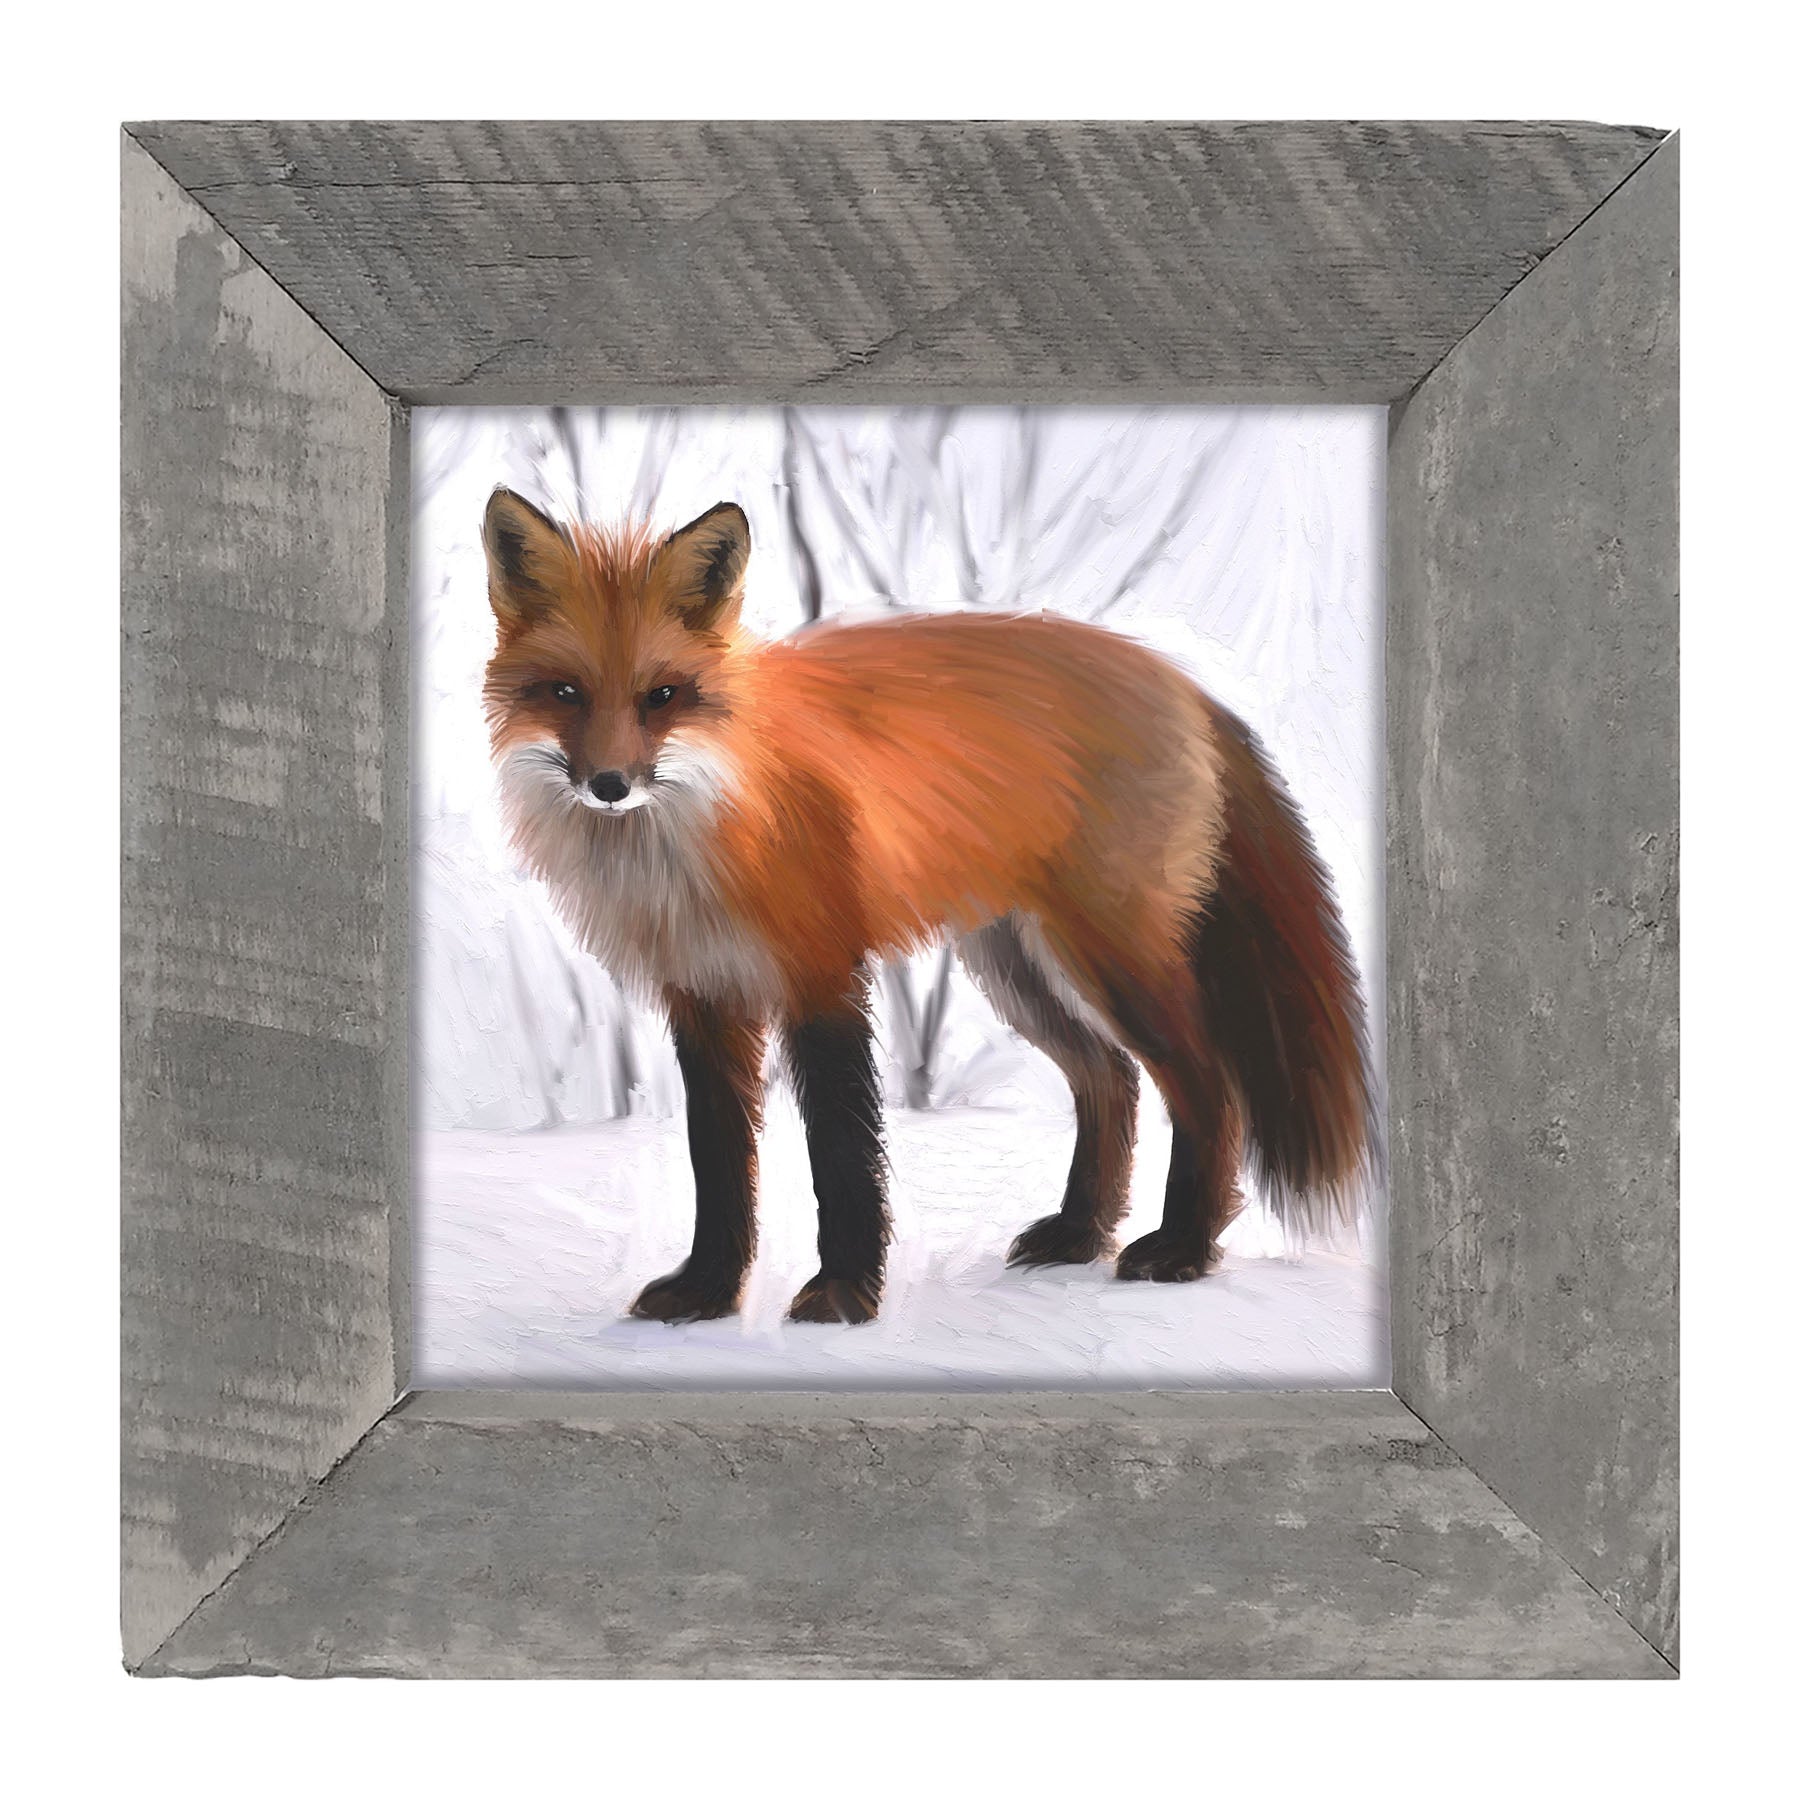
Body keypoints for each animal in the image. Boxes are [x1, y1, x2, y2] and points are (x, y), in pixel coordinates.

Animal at [481, 488, 1376, 1324]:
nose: (609, 785)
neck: (701, 835)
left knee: (1206, 1087)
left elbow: (841, 1152)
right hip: (1016, 969)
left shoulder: (822, 976)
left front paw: (843, 1295)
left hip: (1114, 960)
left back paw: (1183, 1249)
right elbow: (720, 1162)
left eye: (663, 695)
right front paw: (707, 1292)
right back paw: (1080, 1234)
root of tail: (1179, 679)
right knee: (1109, 1079)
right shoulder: (703, 997)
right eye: (565, 692)